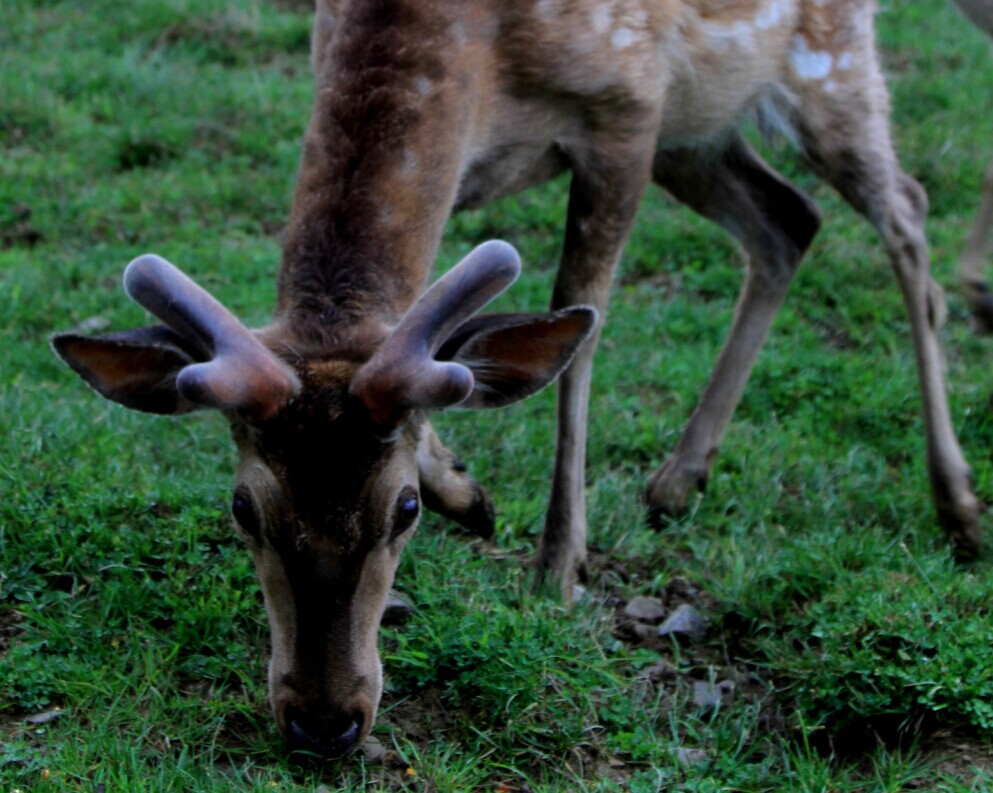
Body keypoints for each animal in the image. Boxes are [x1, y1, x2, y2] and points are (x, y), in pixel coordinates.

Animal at [56, 0, 984, 756]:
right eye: (243, 507)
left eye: (402, 510)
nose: (324, 722)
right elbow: (437, 341)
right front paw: (474, 493)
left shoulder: (628, 104)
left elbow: (578, 317)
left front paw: (556, 563)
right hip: (705, 123)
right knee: (788, 219)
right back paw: (679, 476)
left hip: (826, 61)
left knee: (904, 214)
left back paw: (957, 498)